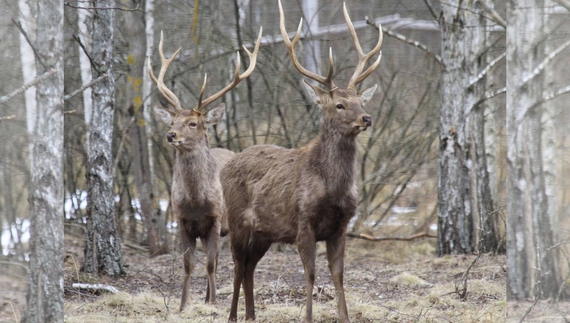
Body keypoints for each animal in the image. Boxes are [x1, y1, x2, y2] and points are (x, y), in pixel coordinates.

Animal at [146, 29, 262, 312]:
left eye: (193, 123)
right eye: (173, 121)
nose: (170, 135)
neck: (197, 201)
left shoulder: (215, 220)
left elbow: (210, 264)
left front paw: (213, 304)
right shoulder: (182, 221)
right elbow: (188, 265)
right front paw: (183, 304)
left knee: (224, 261)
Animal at [222, 1, 382, 322]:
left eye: (361, 101)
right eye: (339, 105)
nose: (366, 118)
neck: (333, 188)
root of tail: (224, 167)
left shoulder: (341, 225)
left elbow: (338, 275)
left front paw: (344, 317)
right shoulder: (303, 222)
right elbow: (310, 274)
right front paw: (307, 316)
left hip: (264, 233)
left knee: (249, 267)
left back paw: (251, 315)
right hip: (236, 220)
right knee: (237, 265)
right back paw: (233, 315)